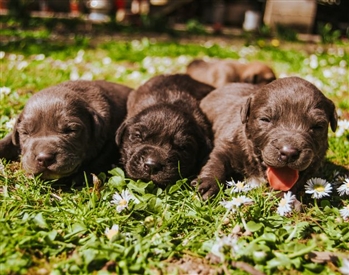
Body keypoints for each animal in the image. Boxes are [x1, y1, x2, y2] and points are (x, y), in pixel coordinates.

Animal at [0, 80, 132, 183]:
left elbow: (102, 158)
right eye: (25, 132)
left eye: (70, 130)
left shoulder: (111, 139)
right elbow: (8, 141)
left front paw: (81, 176)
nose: (44, 158)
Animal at [193, 76, 338, 199]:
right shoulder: (227, 144)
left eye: (318, 126)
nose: (289, 153)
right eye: (265, 119)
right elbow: (216, 161)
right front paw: (207, 184)